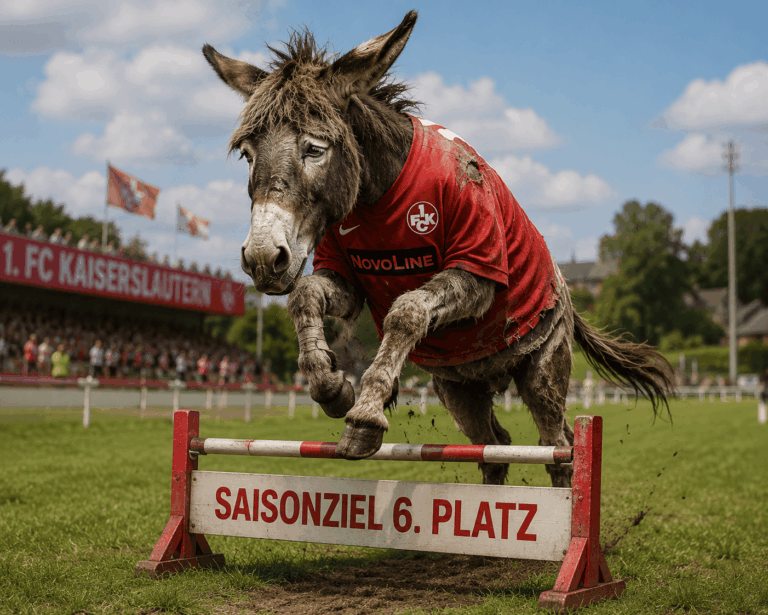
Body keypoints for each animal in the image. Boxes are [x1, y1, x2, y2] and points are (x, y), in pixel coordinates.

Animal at [203, 10, 675, 488]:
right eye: (246, 155)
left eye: (314, 149)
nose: (263, 258)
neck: (381, 189)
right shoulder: (347, 279)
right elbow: (304, 295)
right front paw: (332, 386)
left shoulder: (476, 268)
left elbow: (407, 311)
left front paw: (365, 414)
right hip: (458, 389)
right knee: (496, 445)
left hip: (543, 369)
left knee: (557, 445)